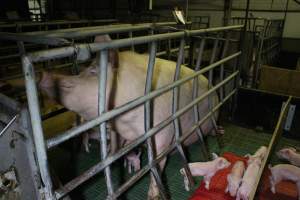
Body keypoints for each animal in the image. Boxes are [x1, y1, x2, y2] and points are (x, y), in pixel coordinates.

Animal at [39, 35, 218, 199]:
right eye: (85, 70)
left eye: (93, 72)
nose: (44, 75)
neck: (127, 124)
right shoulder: (120, 131)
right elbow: (117, 147)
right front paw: (112, 156)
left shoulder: (162, 129)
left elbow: (157, 161)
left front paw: (152, 195)